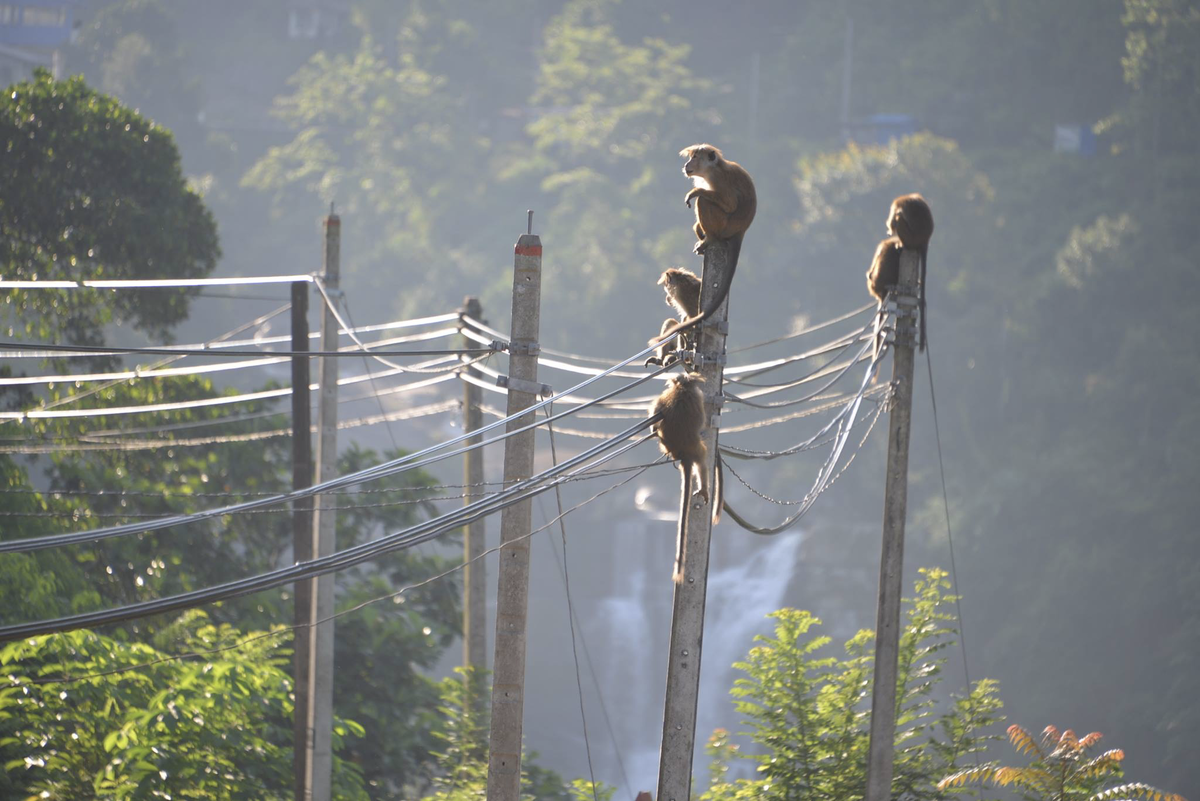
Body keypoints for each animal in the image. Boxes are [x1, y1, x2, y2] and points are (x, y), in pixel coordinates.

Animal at [648, 371, 720, 585]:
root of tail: (682, 453)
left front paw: (652, 429)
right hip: (697, 450)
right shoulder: (697, 399)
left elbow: (655, 413)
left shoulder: (662, 400)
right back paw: (704, 489)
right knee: (703, 462)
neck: (682, 389)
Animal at [652, 143, 753, 347]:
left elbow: (729, 204)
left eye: (695, 157)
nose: (686, 165)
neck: (713, 168)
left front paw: (695, 192)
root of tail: (740, 231)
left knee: (705, 202)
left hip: (723, 226)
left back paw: (709, 238)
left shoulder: (719, 180)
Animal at [888, 191, 931, 352]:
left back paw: (903, 244)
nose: (889, 233)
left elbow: (895, 219)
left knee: (899, 219)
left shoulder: (895, 208)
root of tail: (925, 240)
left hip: (911, 238)